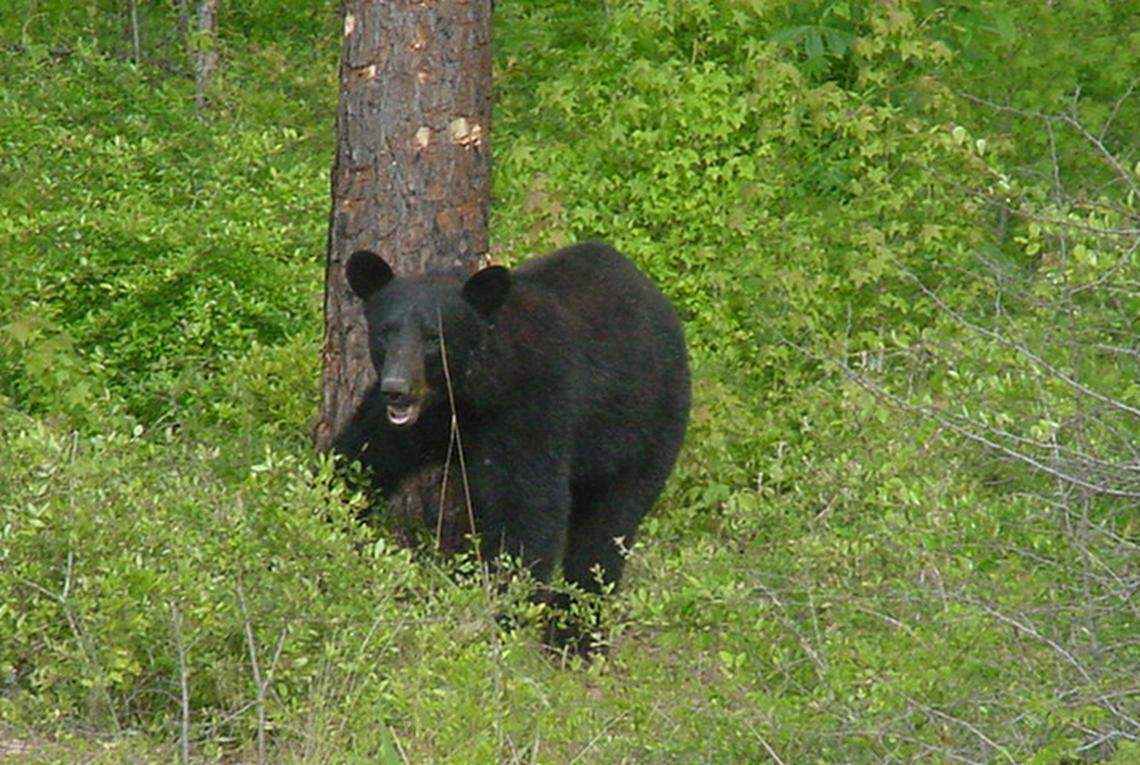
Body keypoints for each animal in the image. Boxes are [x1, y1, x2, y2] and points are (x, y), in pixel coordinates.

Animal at [334, 241, 690, 649]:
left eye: (433, 337)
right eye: (385, 332)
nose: (397, 388)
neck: (467, 396)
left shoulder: (532, 409)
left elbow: (529, 511)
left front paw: (503, 616)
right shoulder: (414, 422)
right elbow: (361, 459)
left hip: (645, 432)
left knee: (605, 534)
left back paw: (574, 636)